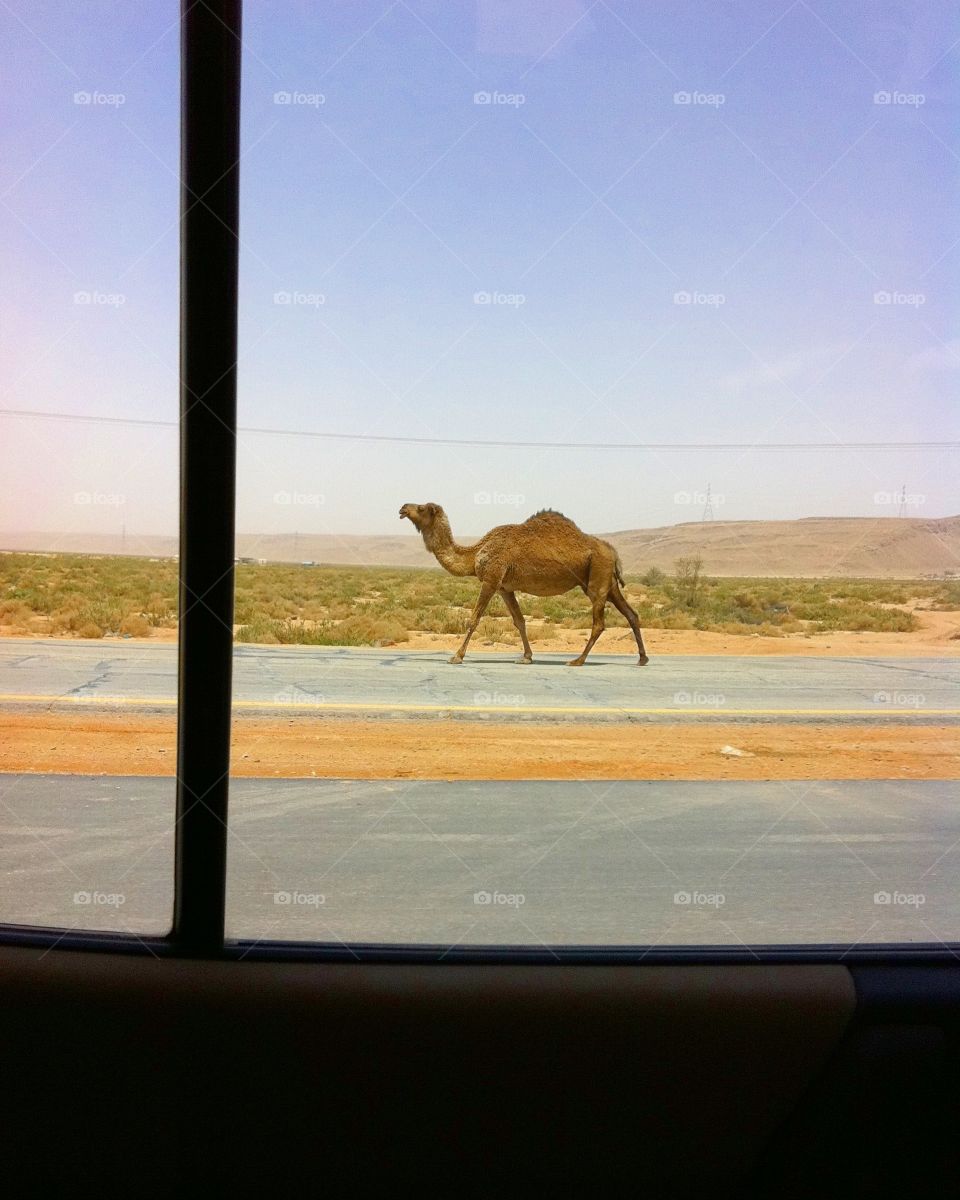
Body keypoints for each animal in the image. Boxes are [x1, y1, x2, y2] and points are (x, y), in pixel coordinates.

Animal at [393, 499, 648, 667]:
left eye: (421, 508)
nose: (403, 507)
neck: (475, 554)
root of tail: (612, 552)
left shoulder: (491, 579)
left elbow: (474, 619)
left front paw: (457, 656)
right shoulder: (505, 587)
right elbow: (519, 621)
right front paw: (526, 657)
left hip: (597, 577)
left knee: (599, 623)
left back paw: (577, 660)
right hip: (607, 582)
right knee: (631, 614)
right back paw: (642, 658)